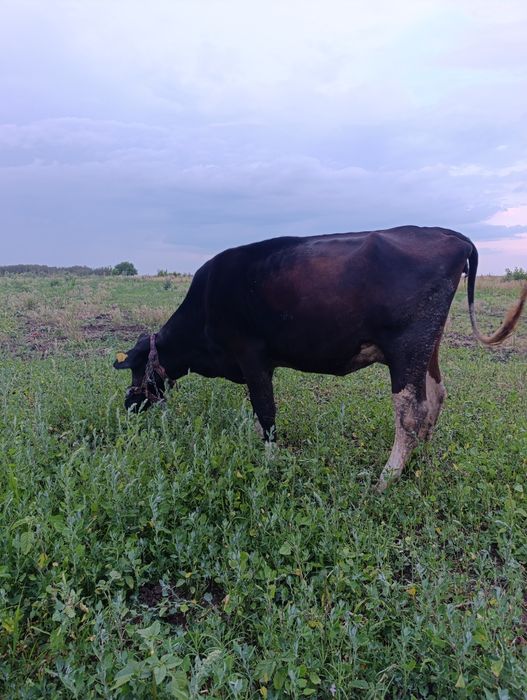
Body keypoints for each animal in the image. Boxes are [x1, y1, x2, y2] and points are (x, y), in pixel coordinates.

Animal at [114, 226, 527, 491]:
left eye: (134, 369)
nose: (128, 404)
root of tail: (451, 236)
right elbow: (258, 412)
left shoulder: (251, 355)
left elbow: (266, 411)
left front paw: (270, 460)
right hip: (429, 346)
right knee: (436, 394)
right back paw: (419, 458)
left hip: (406, 348)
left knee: (411, 409)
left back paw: (387, 478)